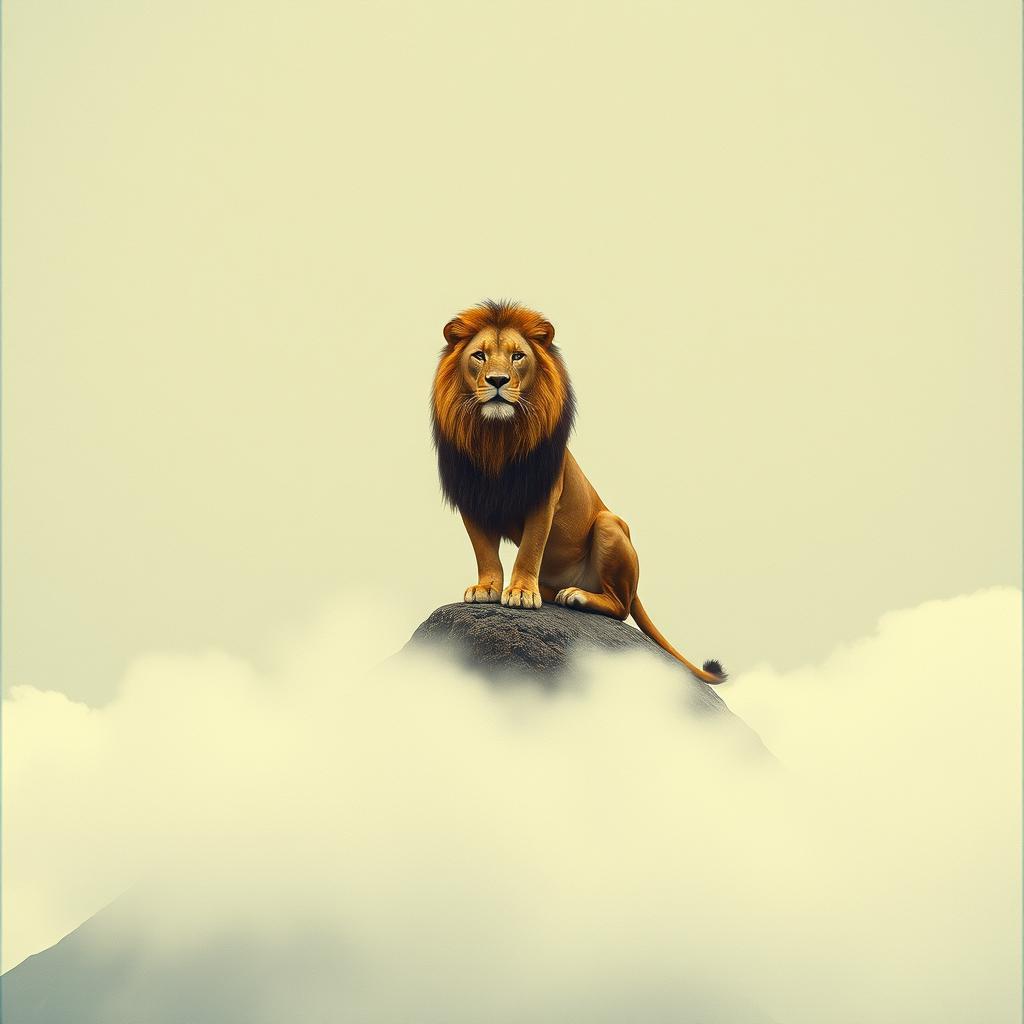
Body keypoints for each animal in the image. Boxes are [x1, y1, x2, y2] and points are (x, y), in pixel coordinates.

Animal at [431, 299, 726, 685]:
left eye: (517, 356)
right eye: (479, 356)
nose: (497, 381)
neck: (496, 437)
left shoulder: (544, 496)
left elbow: (529, 549)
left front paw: (521, 593)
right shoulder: (471, 498)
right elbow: (484, 551)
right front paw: (487, 588)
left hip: (608, 525)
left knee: (620, 606)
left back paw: (577, 596)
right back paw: (551, 593)